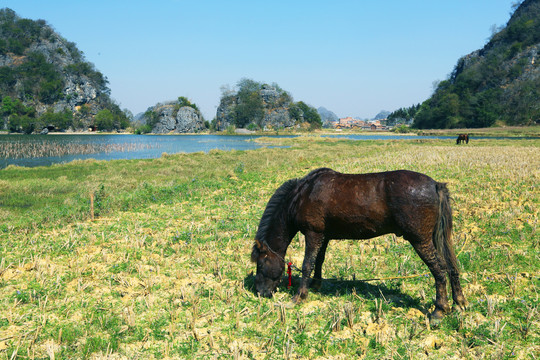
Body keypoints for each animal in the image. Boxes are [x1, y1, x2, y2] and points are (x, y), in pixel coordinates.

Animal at [251, 168, 466, 324]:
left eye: (260, 264)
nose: (260, 293)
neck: (302, 193)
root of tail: (436, 185)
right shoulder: (324, 236)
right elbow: (319, 261)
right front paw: (315, 285)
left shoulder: (313, 234)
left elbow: (307, 265)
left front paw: (299, 296)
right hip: (435, 238)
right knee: (451, 266)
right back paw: (459, 302)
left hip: (420, 240)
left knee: (439, 270)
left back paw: (439, 310)